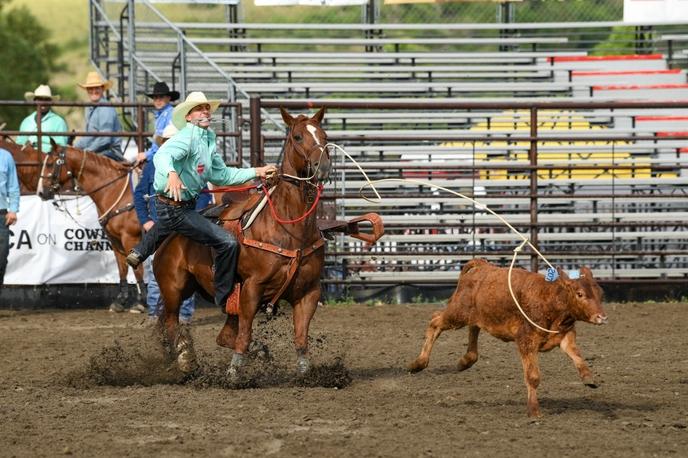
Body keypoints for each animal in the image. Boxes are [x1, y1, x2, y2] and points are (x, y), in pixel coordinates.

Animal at [36, 143, 146, 312]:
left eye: (49, 164)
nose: (40, 192)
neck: (116, 192)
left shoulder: (130, 238)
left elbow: (137, 269)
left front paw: (140, 303)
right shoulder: (115, 240)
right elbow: (122, 269)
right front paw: (121, 301)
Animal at [154, 107, 330, 376]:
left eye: (324, 134)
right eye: (298, 137)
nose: (323, 167)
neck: (291, 230)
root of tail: (168, 238)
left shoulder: (309, 292)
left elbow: (301, 338)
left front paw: (305, 372)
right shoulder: (251, 289)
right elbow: (244, 335)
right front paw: (234, 373)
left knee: (219, 334)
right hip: (174, 288)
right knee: (172, 322)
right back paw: (185, 358)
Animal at [408, 260, 608, 416]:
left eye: (601, 294)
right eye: (580, 294)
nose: (602, 317)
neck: (551, 300)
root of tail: (482, 266)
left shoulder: (565, 336)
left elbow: (577, 356)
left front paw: (588, 377)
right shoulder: (526, 341)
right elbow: (533, 377)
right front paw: (534, 411)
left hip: (477, 314)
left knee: (473, 328)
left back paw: (465, 360)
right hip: (457, 313)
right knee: (435, 321)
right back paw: (418, 363)